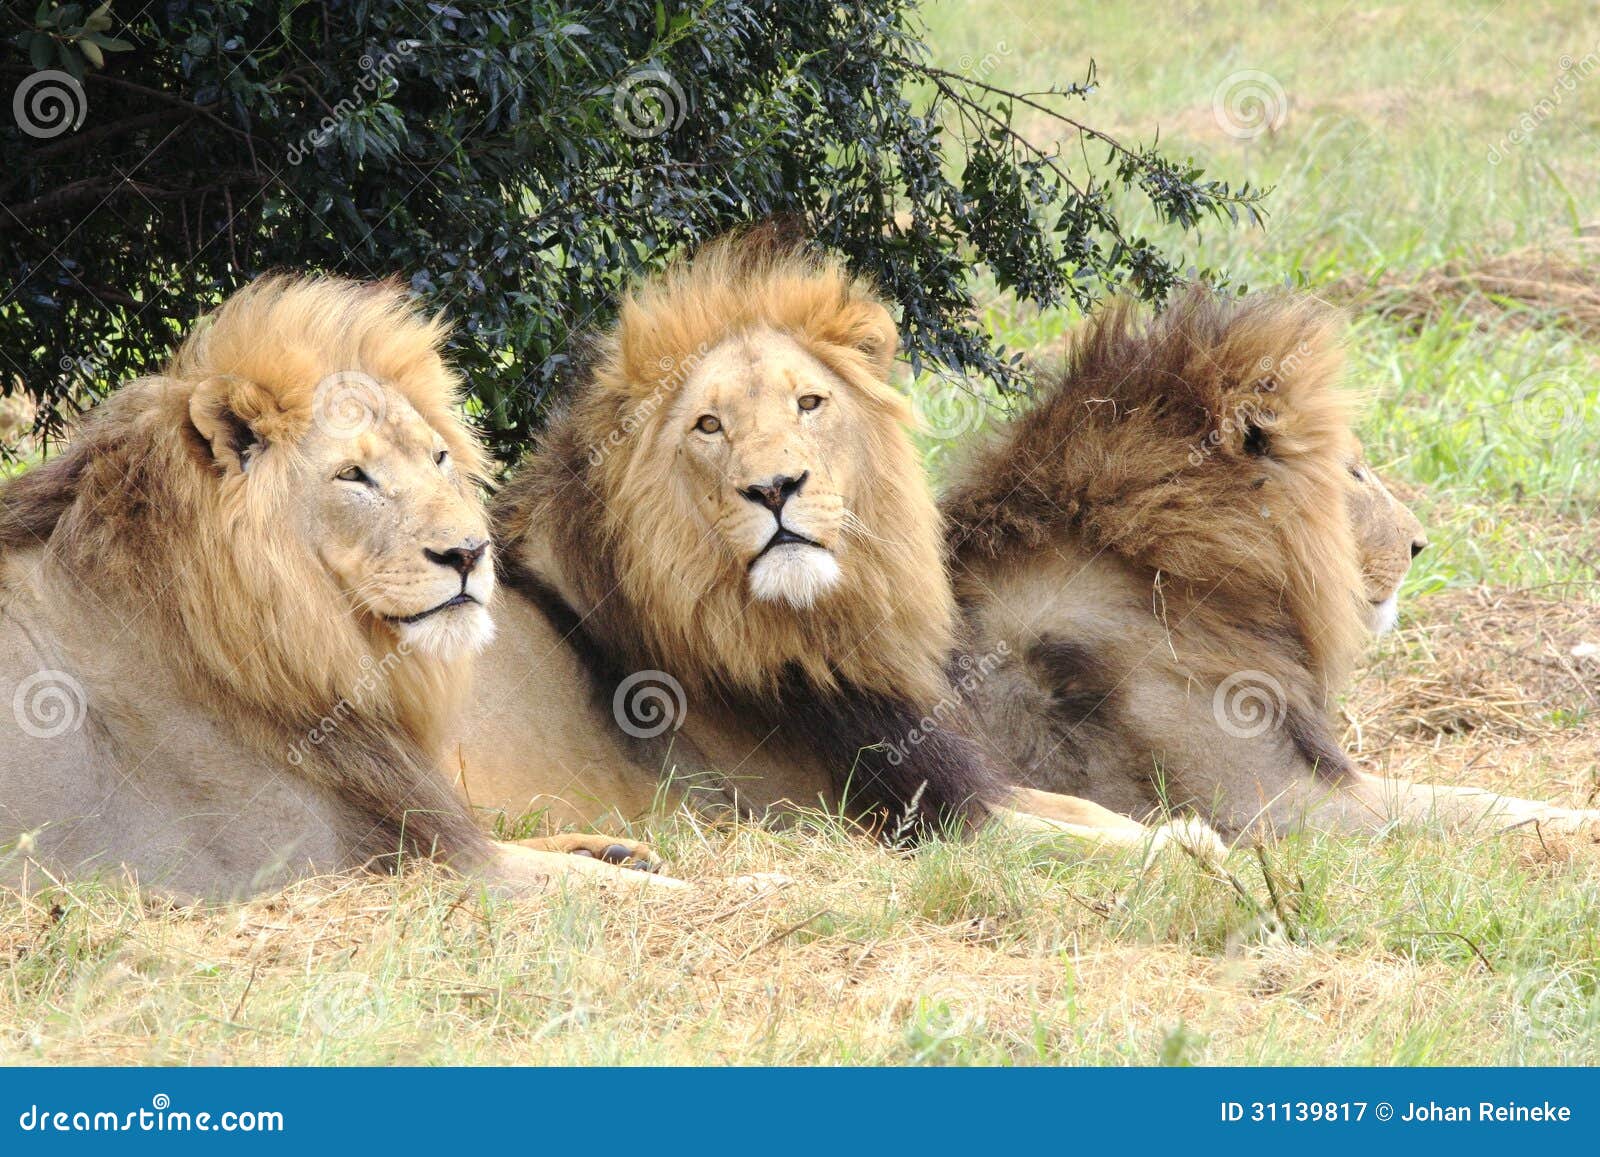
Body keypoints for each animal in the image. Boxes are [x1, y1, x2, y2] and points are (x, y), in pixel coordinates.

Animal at [0, 276, 678, 902]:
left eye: (438, 458)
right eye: (354, 475)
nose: (470, 552)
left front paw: (616, 848)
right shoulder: (349, 865)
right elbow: (591, 883)